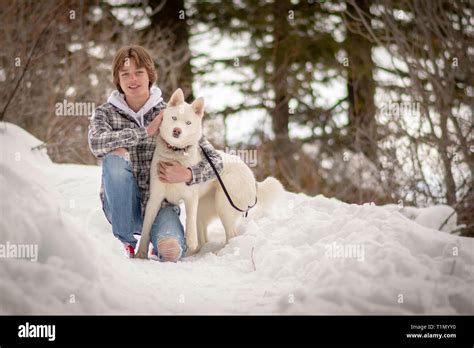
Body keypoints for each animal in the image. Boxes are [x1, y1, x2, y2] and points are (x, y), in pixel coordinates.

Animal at [134, 89, 282, 258]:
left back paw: (220, 253)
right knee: (205, 238)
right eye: (174, 118)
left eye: (188, 123)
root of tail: (253, 179)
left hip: (222, 204)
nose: (177, 131)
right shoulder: (155, 199)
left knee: (231, 235)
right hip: (204, 207)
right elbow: (146, 228)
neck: (176, 154)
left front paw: (190, 241)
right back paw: (195, 254)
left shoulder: (190, 198)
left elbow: (189, 223)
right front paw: (140, 254)